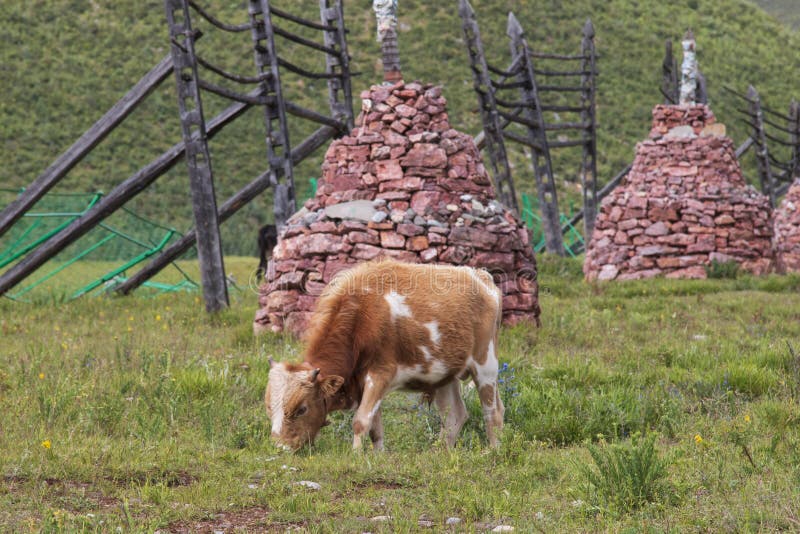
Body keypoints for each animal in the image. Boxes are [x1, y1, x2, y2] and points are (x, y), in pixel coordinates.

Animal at [262, 262, 504, 454]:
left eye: (301, 409)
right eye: (269, 407)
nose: (280, 448)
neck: (362, 311)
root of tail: (479, 276)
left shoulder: (381, 373)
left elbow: (360, 421)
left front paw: (356, 455)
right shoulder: (363, 382)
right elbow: (374, 426)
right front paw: (377, 456)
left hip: (486, 365)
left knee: (492, 412)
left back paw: (492, 451)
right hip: (444, 374)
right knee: (455, 414)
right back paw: (441, 453)